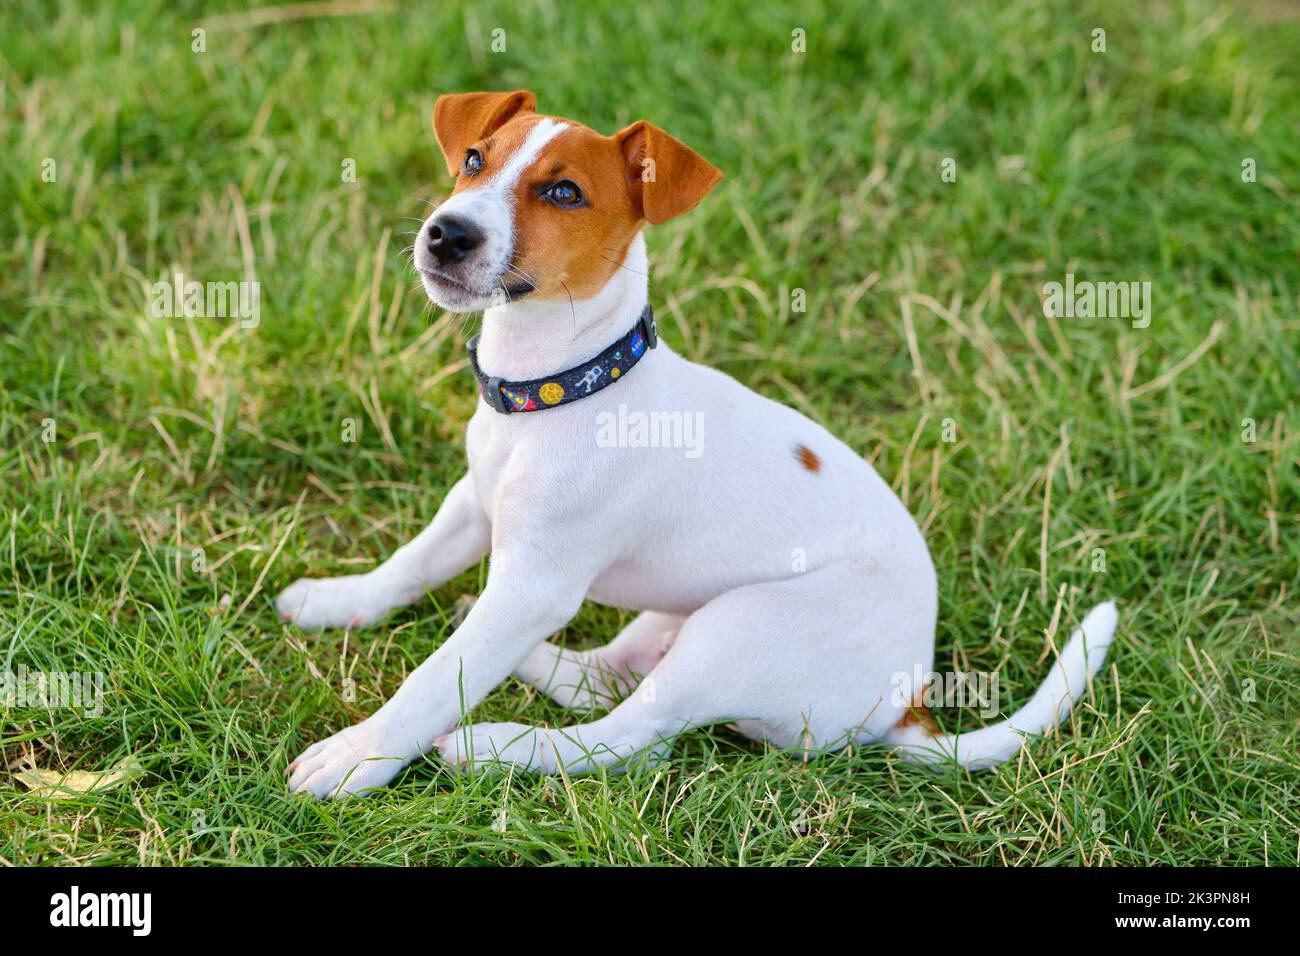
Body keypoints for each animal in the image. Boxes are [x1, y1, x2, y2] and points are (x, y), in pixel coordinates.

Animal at [276, 91, 1118, 801]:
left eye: (563, 193)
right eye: (475, 159)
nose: (446, 233)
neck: (563, 389)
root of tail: (908, 704)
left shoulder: (535, 584)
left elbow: (434, 679)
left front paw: (359, 755)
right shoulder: (474, 507)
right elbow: (408, 565)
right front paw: (336, 600)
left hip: (738, 628)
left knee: (631, 736)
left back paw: (494, 745)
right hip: (675, 614)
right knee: (605, 682)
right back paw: (526, 659)